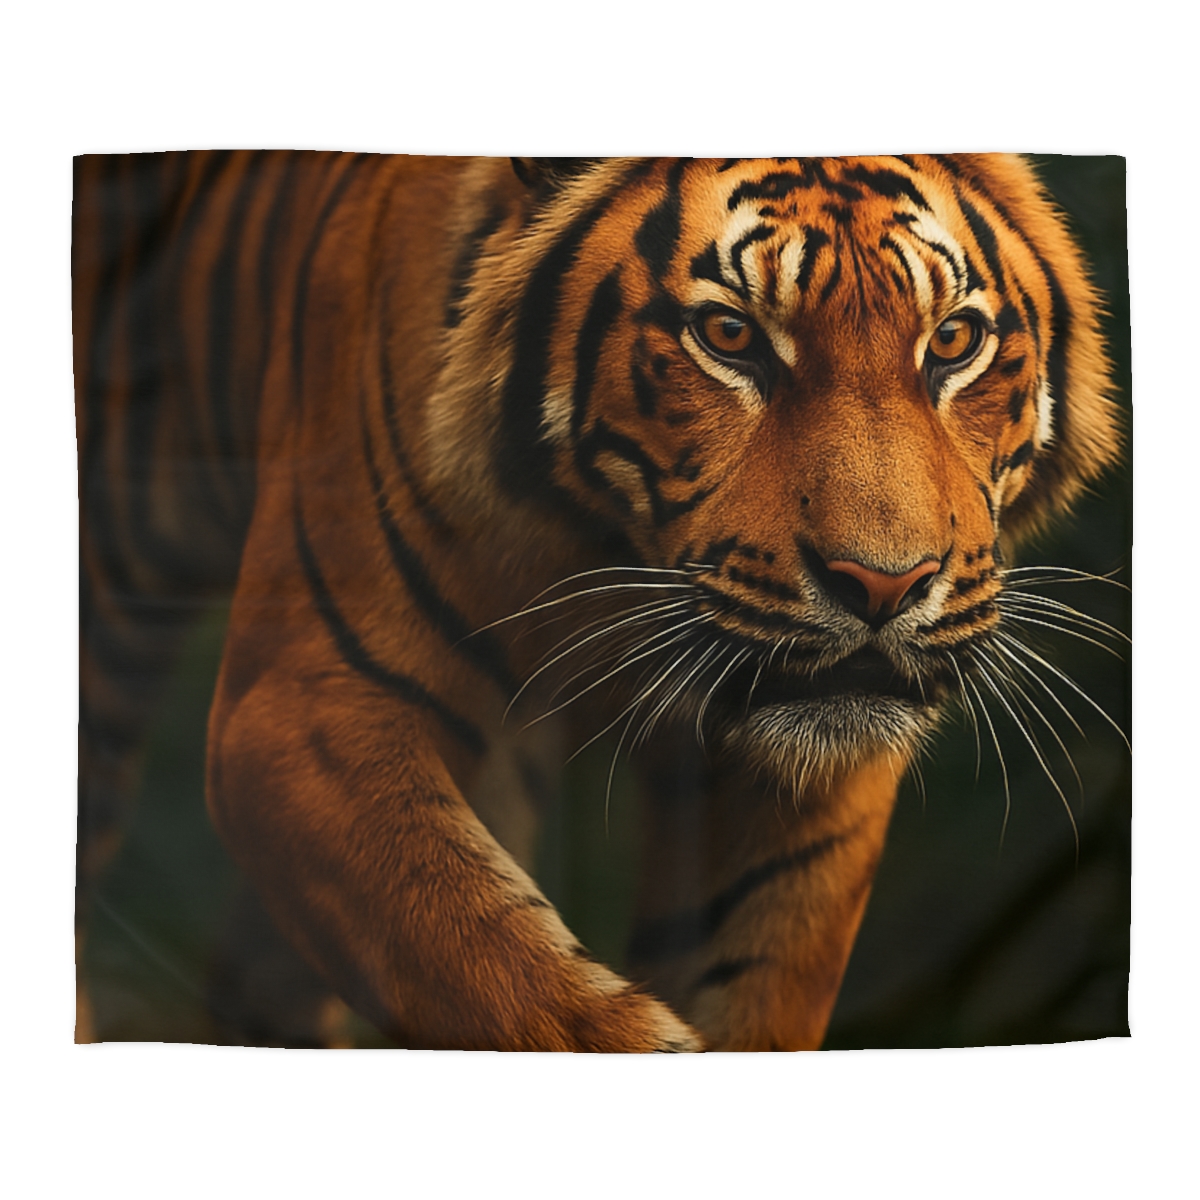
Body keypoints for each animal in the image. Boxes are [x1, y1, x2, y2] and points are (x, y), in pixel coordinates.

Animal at [74, 153, 1122, 1051]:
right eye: (730, 336)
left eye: (953, 341)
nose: (884, 585)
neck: (608, 559)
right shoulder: (302, 711)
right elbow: (507, 976)